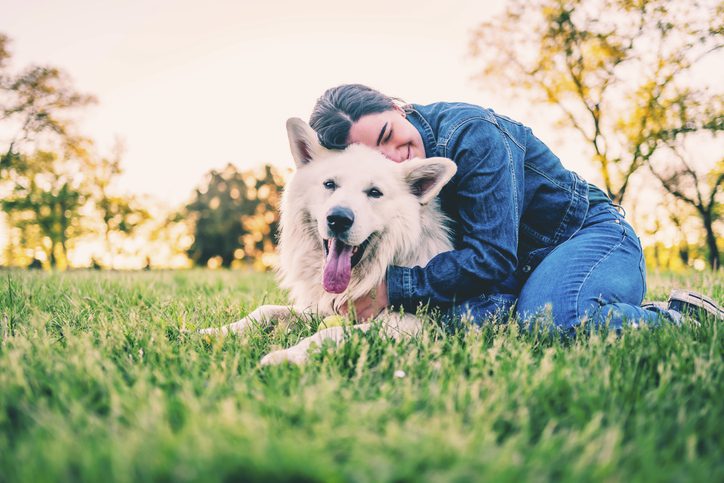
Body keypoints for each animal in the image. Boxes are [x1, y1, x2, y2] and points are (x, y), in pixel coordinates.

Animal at [201, 118, 456, 366]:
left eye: (375, 192)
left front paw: (286, 357)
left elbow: (330, 333)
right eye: (329, 184)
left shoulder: (410, 323)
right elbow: (265, 311)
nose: (338, 219)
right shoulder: (321, 306)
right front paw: (217, 332)